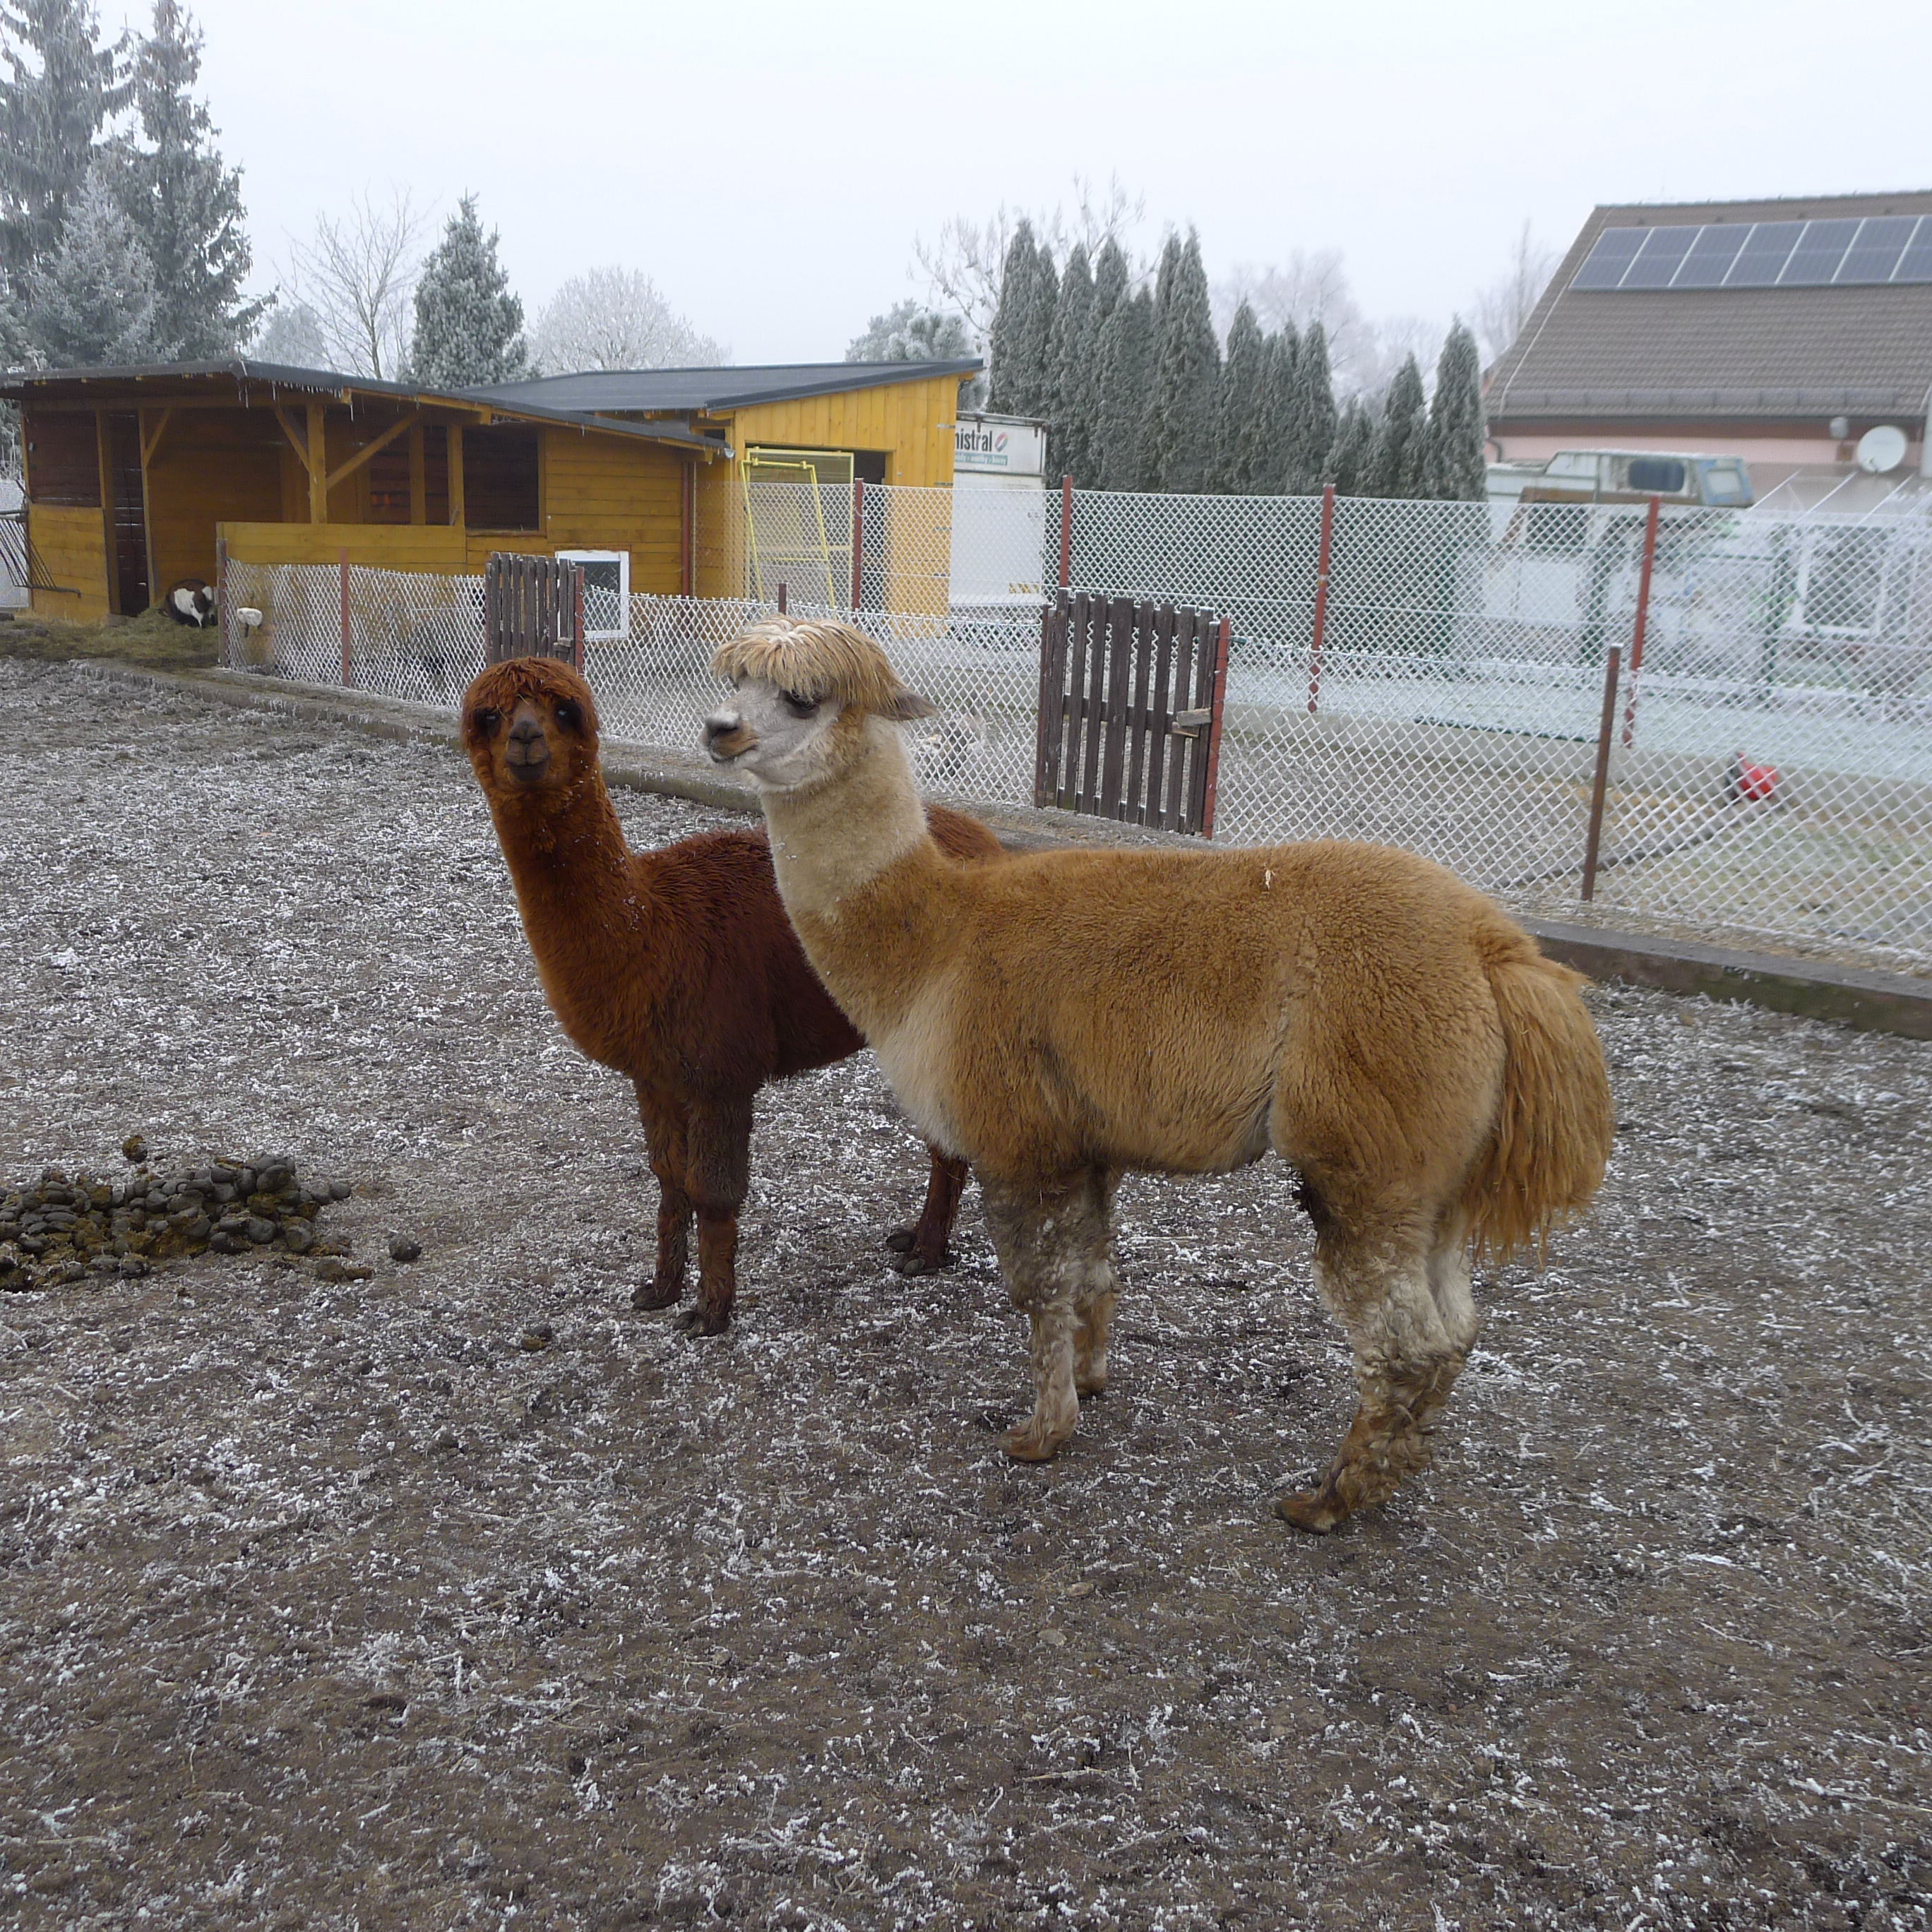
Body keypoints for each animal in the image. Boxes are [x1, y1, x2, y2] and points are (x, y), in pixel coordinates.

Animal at [461, 655, 1002, 1334]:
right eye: (488, 716)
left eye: (566, 710)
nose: (526, 737)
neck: (655, 929)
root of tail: (981, 837)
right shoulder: (656, 1071)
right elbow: (669, 1181)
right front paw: (660, 1290)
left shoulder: (721, 1068)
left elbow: (713, 1192)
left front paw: (711, 1313)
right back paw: (922, 1242)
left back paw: (929, 1252)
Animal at [702, 618, 1615, 1531]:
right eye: (735, 678)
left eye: (802, 696)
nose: (719, 730)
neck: (938, 944)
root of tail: (1493, 950)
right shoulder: (1087, 1140)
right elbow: (1094, 1269)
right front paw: (1093, 1379)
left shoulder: (1017, 1137)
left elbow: (1035, 1289)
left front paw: (1041, 1433)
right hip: (1440, 1170)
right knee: (1457, 1328)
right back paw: (1397, 1472)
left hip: (1372, 1146)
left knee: (1405, 1342)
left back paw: (1326, 1501)